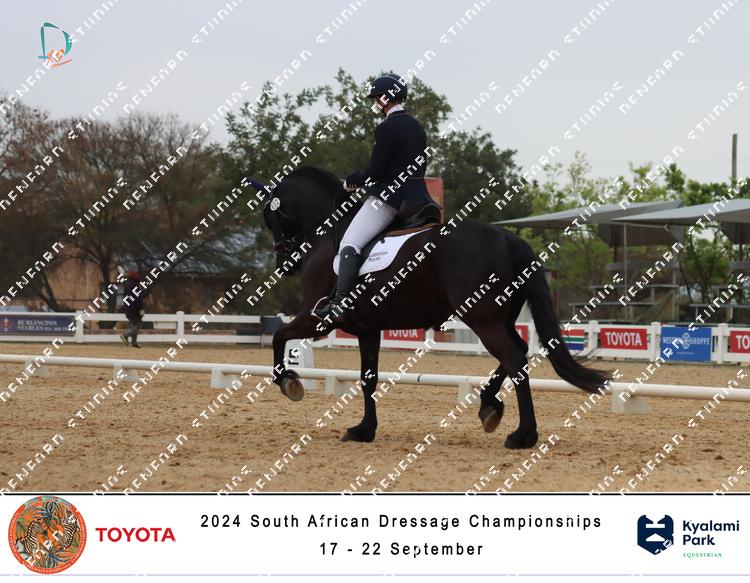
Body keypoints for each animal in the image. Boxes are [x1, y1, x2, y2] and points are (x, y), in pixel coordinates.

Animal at [256, 166, 609, 448]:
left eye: (272, 219)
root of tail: (508, 238)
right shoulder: (368, 329)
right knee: (518, 352)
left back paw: (523, 435)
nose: (284, 264)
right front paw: (364, 430)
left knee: (514, 358)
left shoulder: (316, 319)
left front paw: (289, 382)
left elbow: (279, 337)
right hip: (499, 319)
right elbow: (368, 377)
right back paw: (489, 406)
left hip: (483, 320)